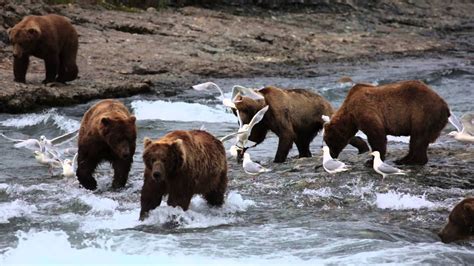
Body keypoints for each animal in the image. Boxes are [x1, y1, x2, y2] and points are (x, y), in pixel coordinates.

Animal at [233, 86, 370, 163]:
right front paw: (240, 152)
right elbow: (256, 137)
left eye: (241, 110)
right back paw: (305, 154)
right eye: (235, 112)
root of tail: (325, 100)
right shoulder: (262, 121)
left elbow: (286, 134)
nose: (239, 122)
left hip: (318, 114)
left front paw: (277, 159)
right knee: (302, 142)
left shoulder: (277, 112)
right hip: (305, 126)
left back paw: (363, 148)